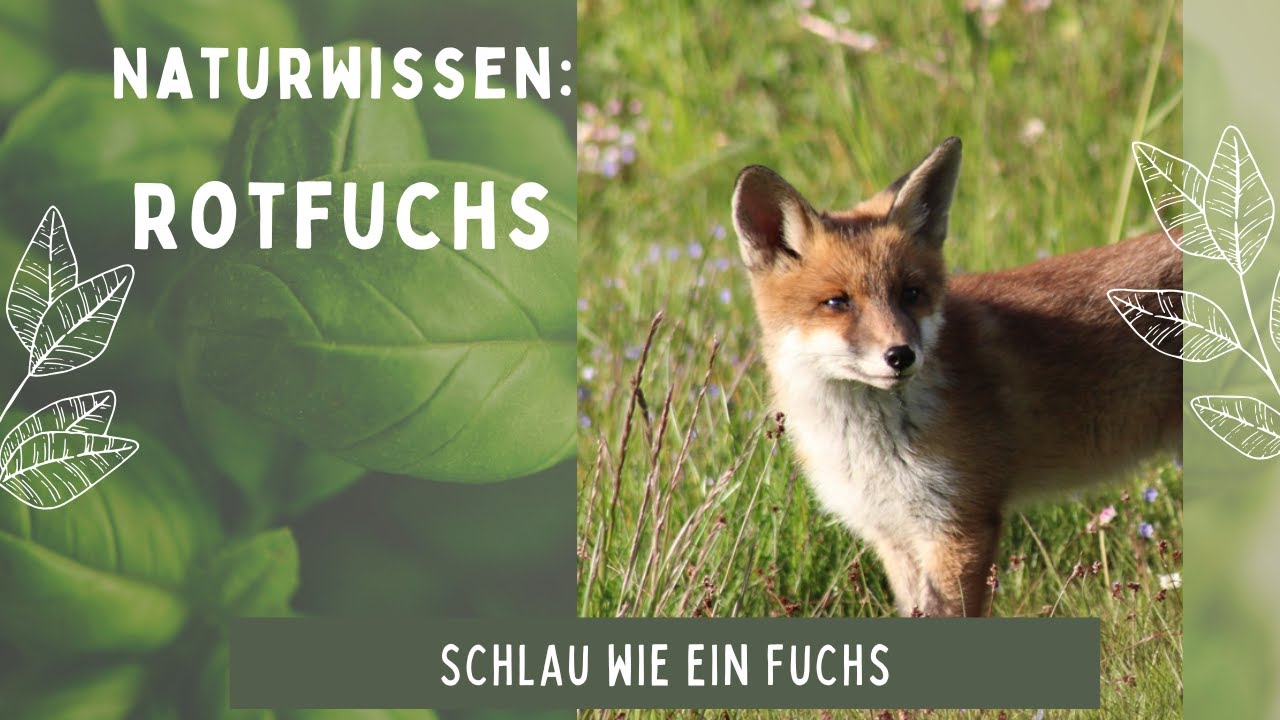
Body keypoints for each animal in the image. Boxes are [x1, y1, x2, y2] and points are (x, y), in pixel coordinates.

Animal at [731, 137, 1181, 617]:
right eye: (837, 302)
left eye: (910, 293)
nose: (901, 355)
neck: (870, 448)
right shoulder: (893, 534)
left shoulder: (960, 524)